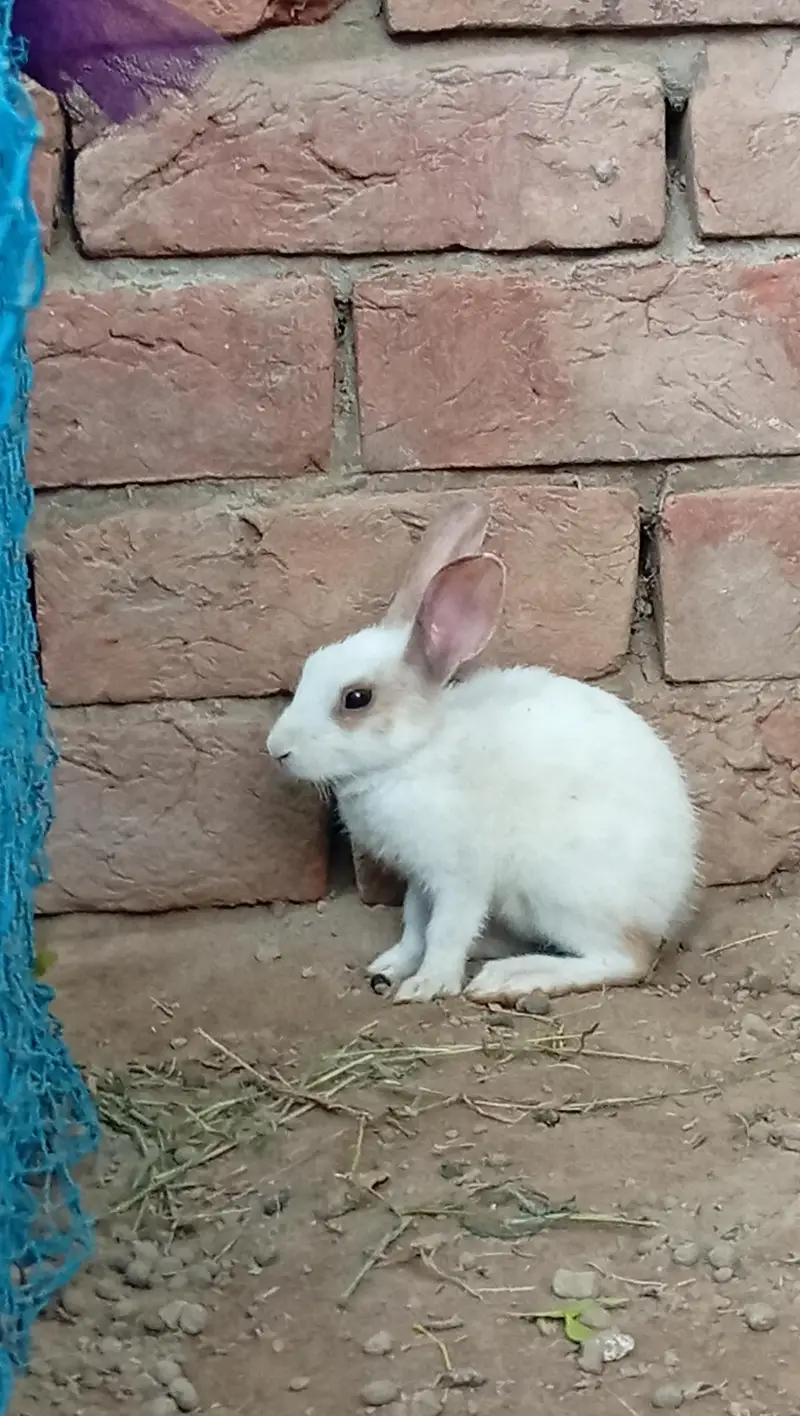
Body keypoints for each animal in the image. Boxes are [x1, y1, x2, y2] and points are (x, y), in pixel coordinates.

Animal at [266, 499, 698, 1005]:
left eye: (356, 699)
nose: (276, 749)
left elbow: (446, 929)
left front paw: (428, 984)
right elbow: (415, 922)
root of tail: (670, 902)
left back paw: (510, 977)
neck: (414, 754)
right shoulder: (421, 878)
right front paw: (392, 966)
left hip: (560, 891)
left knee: (626, 959)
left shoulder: (460, 875)